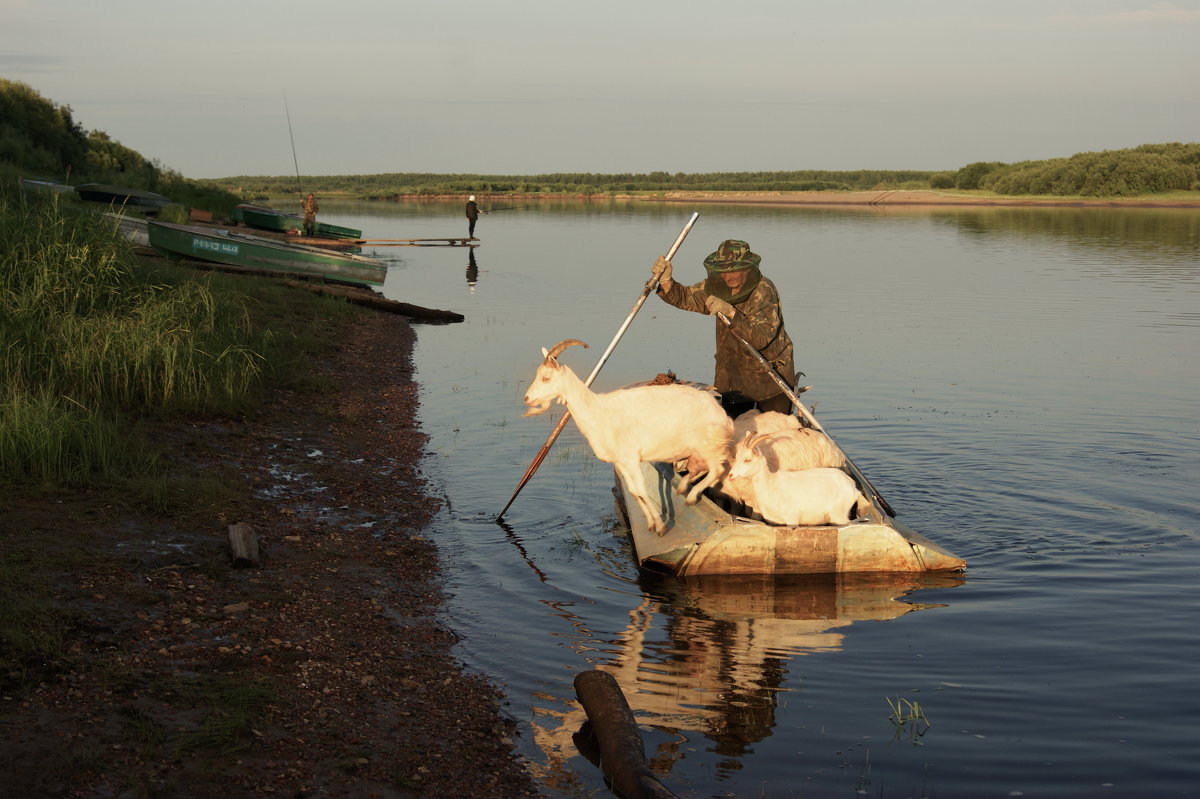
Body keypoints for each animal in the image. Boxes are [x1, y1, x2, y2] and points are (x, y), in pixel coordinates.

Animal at [523, 338, 729, 532]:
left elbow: (642, 491)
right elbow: (634, 492)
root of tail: (719, 410)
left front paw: (660, 527)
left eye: (546, 378)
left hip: (707, 445)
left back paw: (691, 497)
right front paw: (652, 524)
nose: (527, 398)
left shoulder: (631, 458)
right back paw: (684, 487)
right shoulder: (620, 461)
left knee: (718, 469)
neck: (596, 410)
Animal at [724, 431, 868, 525]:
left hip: (839, 515)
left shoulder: (791, 518)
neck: (770, 483)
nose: (731, 475)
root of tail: (854, 488)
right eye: (736, 457)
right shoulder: (775, 521)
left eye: (747, 460)